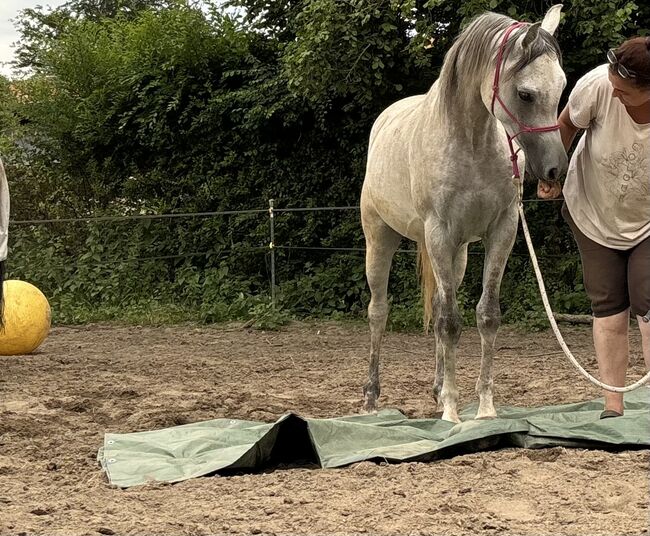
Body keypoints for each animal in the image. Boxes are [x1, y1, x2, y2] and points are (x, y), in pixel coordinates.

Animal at [362, 5, 564, 422]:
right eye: (525, 94)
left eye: (562, 87)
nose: (555, 170)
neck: (471, 142)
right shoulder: (439, 233)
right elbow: (449, 323)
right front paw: (453, 413)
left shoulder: (501, 231)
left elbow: (485, 315)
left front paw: (483, 408)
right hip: (380, 239)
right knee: (379, 311)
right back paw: (372, 398)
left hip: (458, 254)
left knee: (442, 301)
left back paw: (439, 388)